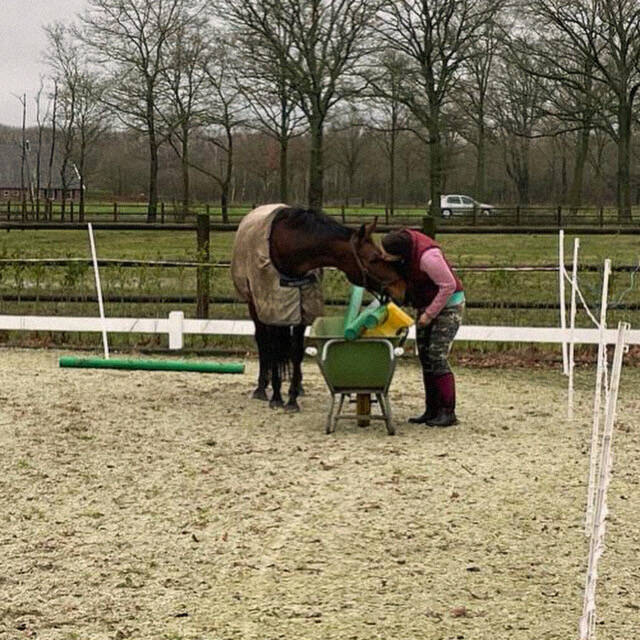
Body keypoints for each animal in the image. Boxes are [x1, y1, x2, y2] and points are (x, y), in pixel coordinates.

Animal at [231, 204, 407, 412]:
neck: (288, 247)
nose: (401, 288)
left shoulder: (302, 312)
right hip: (254, 306)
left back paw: (297, 387)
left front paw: (292, 398)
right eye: (373, 258)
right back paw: (261, 387)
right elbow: (274, 348)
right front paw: (276, 397)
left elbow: (296, 351)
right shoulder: (274, 310)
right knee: (263, 342)